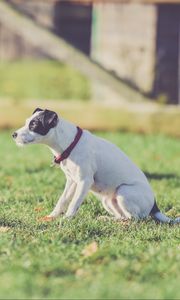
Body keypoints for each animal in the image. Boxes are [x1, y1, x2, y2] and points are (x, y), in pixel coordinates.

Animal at [11, 108, 179, 223]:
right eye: (26, 122)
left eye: (33, 125)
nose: (13, 134)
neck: (70, 143)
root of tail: (154, 206)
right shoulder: (72, 182)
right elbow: (62, 201)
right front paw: (52, 216)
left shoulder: (84, 181)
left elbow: (73, 203)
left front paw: (66, 220)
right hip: (108, 200)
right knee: (123, 215)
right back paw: (107, 219)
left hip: (123, 192)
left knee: (134, 218)